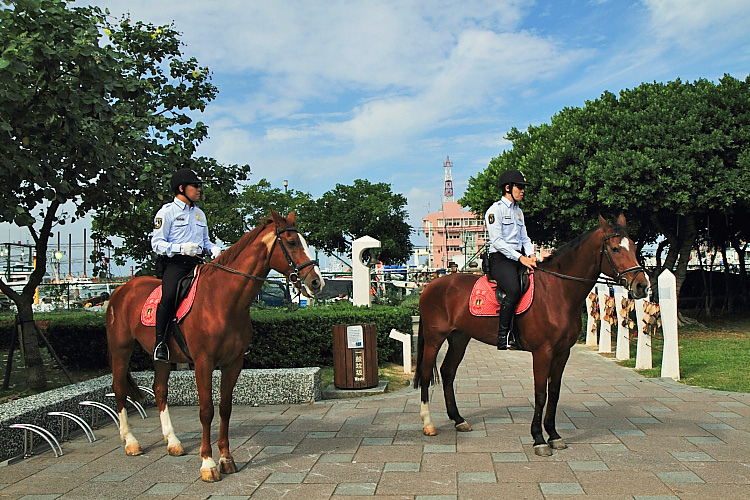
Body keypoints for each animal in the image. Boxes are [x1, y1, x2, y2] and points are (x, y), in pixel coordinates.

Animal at [107, 210, 324, 480]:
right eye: (292, 242)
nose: (317, 282)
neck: (222, 300)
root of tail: (121, 290)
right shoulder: (203, 363)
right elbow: (206, 410)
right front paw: (208, 463)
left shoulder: (233, 363)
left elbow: (225, 408)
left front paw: (226, 458)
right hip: (120, 350)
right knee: (119, 389)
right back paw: (131, 442)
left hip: (162, 357)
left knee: (160, 390)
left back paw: (173, 442)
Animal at [418, 215, 652, 458]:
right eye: (615, 248)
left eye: (634, 247)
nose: (642, 286)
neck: (558, 291)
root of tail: (431, 286)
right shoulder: (542, 352)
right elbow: (541, 394)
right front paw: (539, 439)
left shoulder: (562, 352)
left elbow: (554, 392)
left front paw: (554, 435)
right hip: (435, 338)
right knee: (426, 373)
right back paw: (428, 424)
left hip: (459, 338)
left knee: (448, 372)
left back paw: (458, 419)